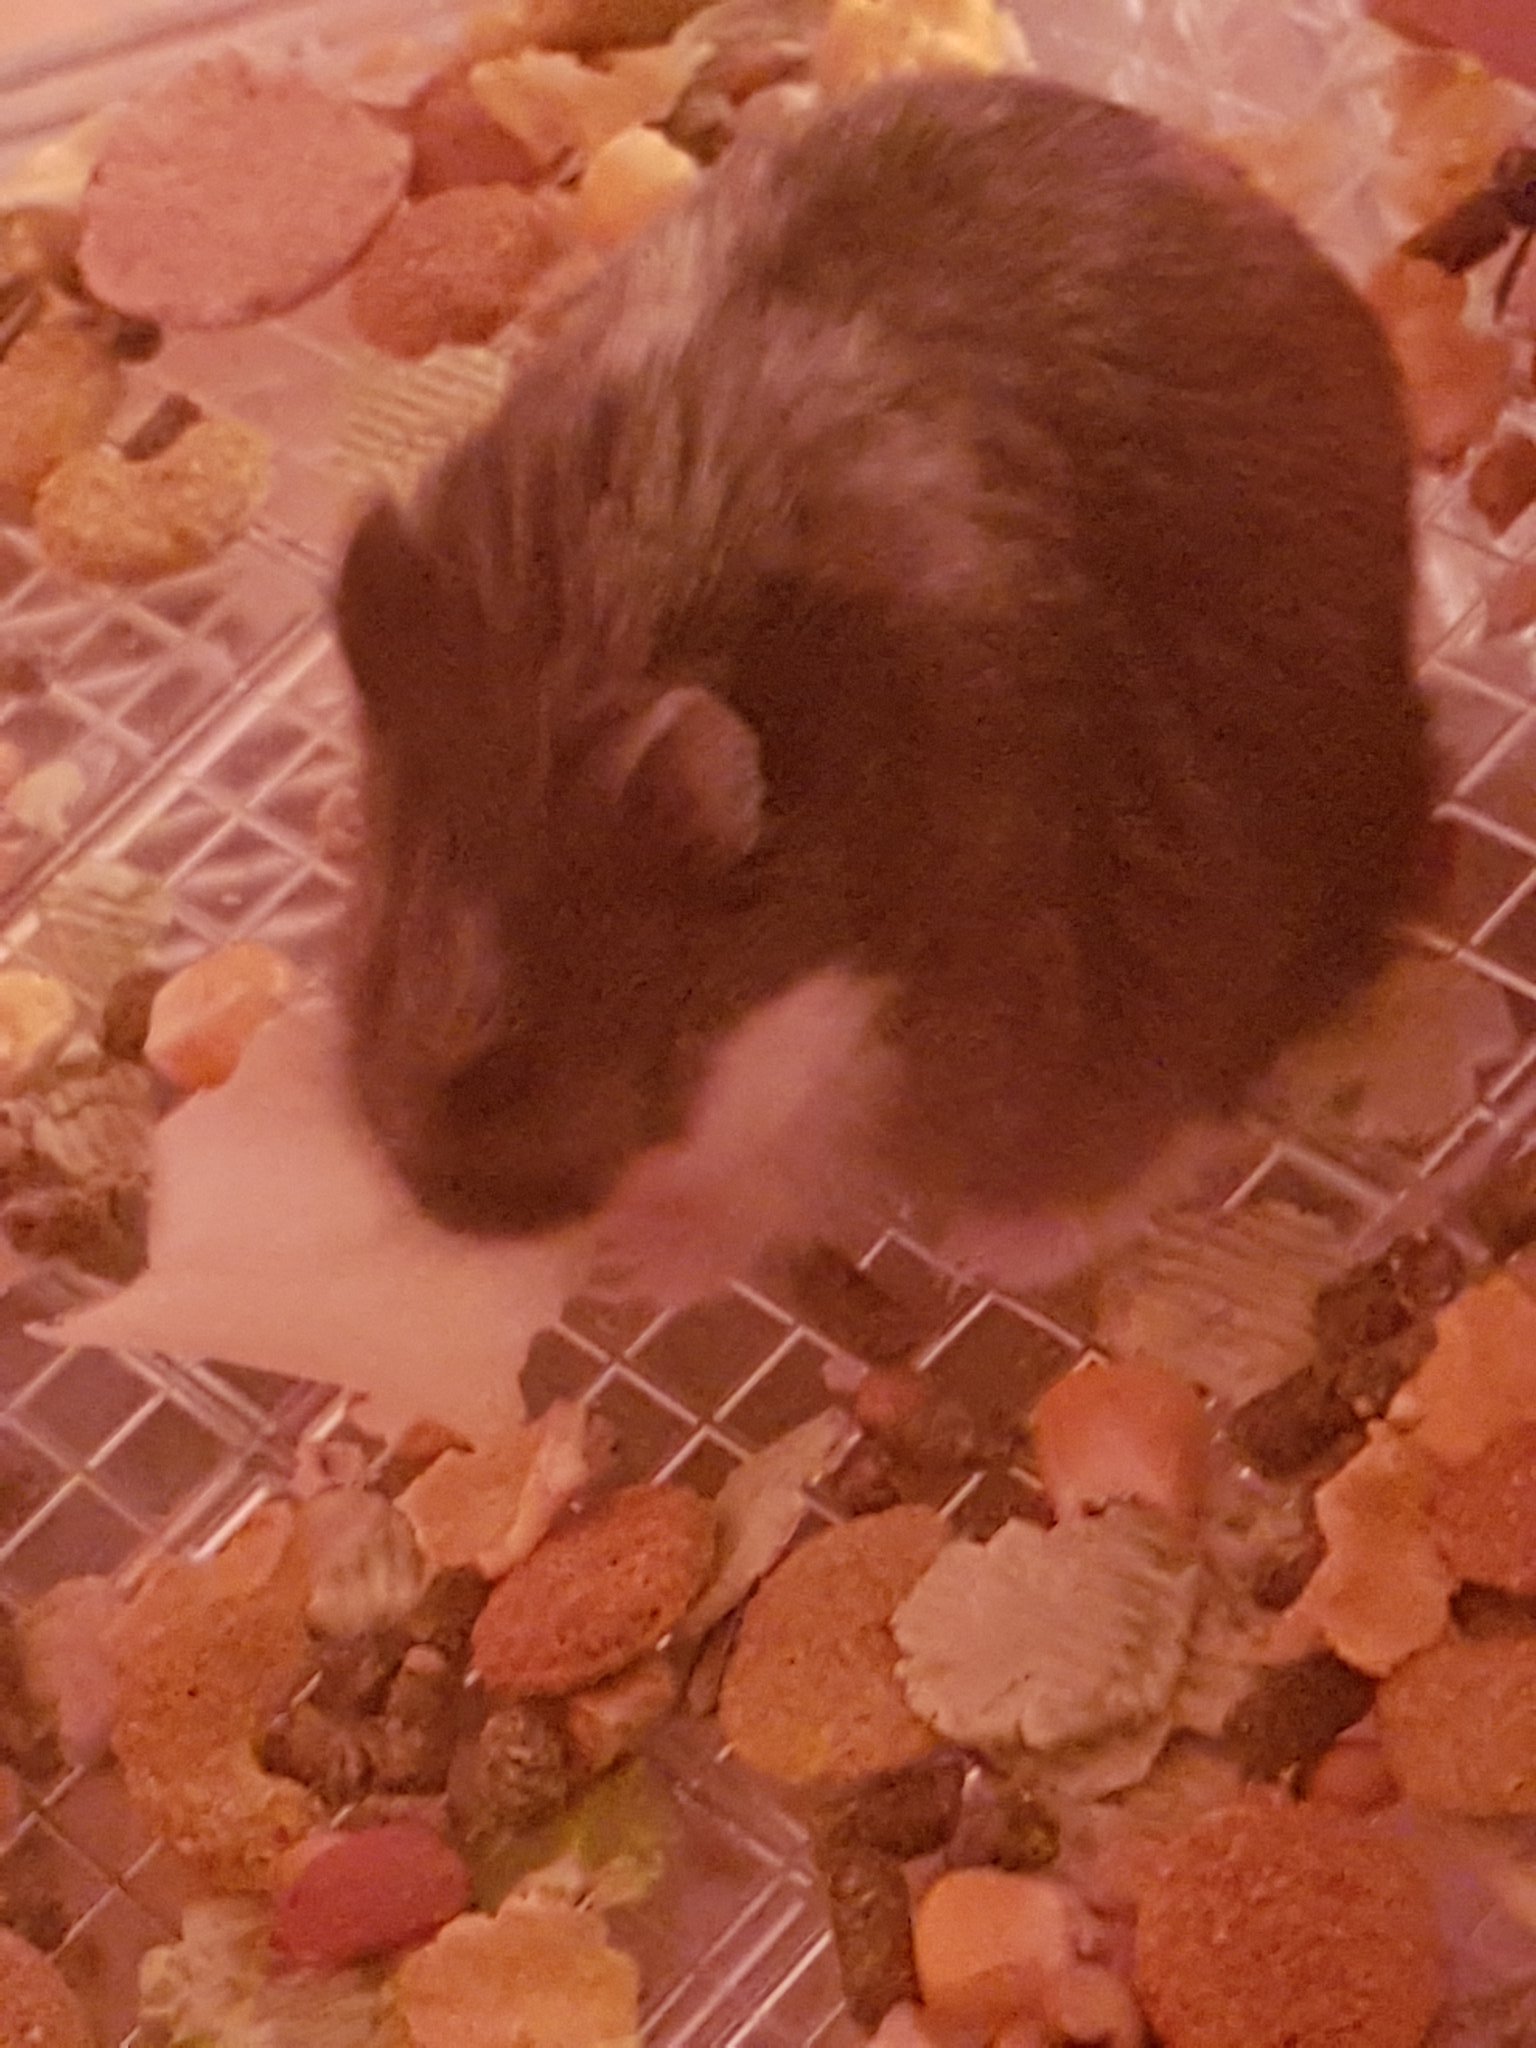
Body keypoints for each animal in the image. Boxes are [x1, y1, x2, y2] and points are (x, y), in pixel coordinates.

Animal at [334, 70, 1432, 1305]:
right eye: (369, 967)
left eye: (524, 1058)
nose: (450, 1216)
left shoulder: (965, 1025)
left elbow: (785, 1181)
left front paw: (636, 1263)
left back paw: (998, 1250)